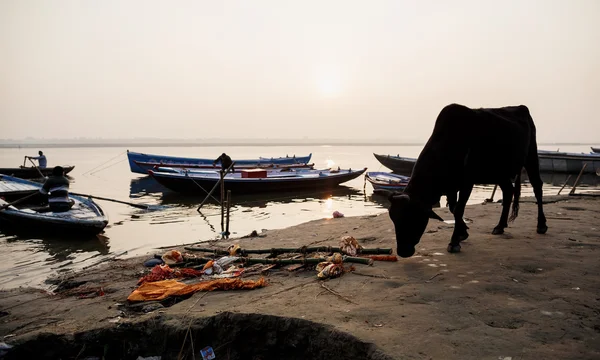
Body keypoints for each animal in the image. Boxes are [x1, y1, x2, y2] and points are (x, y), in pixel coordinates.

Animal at [390, 102, 548, 258]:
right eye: (394, 219)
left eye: (412, 218)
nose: (402, 251)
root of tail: (521, 107)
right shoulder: (451, 187)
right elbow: (453, 208)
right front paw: (462, 232)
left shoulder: (467, 182)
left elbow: (459, 209)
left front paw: (454, 241)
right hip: (500, 173)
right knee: (508, 191)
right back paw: (500, 226)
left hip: (531, 156)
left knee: (537, 187)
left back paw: (541, 225)